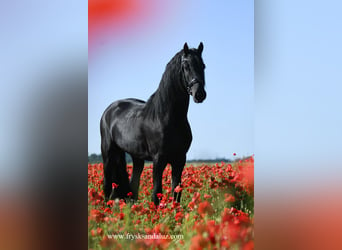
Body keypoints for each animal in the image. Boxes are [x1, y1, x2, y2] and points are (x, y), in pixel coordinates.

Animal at [99, 42, 206, 205]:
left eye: (203, 65)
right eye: (186, 66)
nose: (199, 94)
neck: (167, 118)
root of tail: (109, 109)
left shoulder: (180, 160)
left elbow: (176, 193)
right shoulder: (158, 160)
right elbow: (156, 194)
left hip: (137, 158)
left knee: (133, 188)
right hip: (108, 154)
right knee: (106, 185)